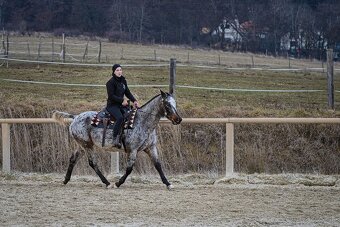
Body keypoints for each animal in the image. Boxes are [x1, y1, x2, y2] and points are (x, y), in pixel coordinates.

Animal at [52, 90, 182, 190]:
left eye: (175, 103)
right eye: (167, 104)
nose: (178, 119)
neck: (143, 122)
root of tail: (75, 117)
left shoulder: (151, 148)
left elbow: (158, 165)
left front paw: (168, 184)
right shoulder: (133, 150)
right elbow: (129, 169)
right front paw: (118, 183)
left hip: (82, 146)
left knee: (73, 159)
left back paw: (65, 180)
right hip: (88, 146)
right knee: (93, 163)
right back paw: (107, 183)